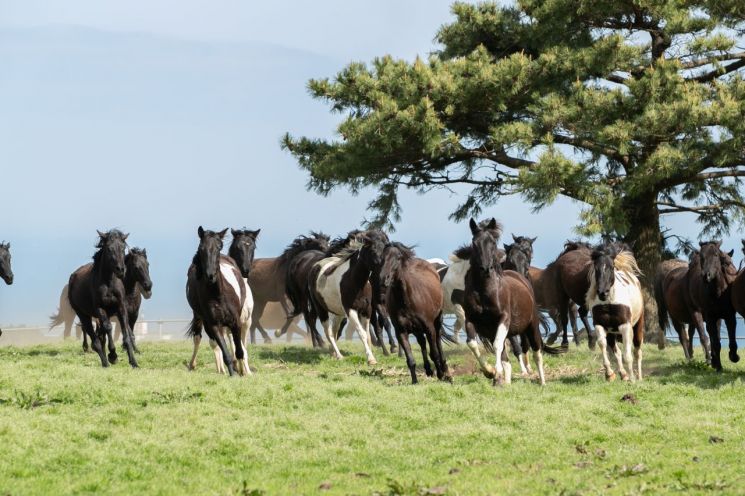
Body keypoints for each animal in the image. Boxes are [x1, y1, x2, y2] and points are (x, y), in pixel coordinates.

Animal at [68, 231, 137, 366]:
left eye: (123, 248)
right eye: (109, 249)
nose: (121, 270)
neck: (109, 283)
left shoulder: (121, 307)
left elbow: (126, 334)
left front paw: (134, 363)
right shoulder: (100, 309)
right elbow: (108, 328)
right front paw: (113, 355)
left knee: (100, 336)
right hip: (83, 314)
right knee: (95, 339)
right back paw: (105, 362)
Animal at [186, 228, 253, 376]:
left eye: (219, 246)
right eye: (201, 248)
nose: (210, 275)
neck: (218, 296)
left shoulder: (237, 322)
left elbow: (239, 350)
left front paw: (243, 371)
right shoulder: (214, 325)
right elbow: (225, 352)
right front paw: (233, 374)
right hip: (199, 316)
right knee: (199, 338)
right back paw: (194, 364)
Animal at [378, 241, 448, 384]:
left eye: (398, 257)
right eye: (382, 257)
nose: (383, 279)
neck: (406, 300)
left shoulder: (429, 328)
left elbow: (434, 353)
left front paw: (440, 375)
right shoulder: (401, 332)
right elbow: (410, 359)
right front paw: (415, 381)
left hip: (437, 321)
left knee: (438, 341)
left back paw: (444, 369)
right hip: (416, 329)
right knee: (422, 342)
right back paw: (428, 370)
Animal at [462, 219, 548, 386]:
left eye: (493, 242)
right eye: (474, 243)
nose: (485, 269)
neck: (484, 291)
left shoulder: (504, 318)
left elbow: (498, 345)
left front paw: (497, 372)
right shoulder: (471, 319)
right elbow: (472, 343)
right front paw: (490, 372)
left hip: (532, 326)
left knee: (537, 352)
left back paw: (542, 381)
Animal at [584, 246, 644, 382]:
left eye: (611, 267)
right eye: (596, 268)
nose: (602, 293)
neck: (610, 303)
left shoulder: (625, 326)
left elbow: (628, 355)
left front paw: (633, 380)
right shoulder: (600, 325)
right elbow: (603, 344)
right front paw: (610, 374)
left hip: (638, 326)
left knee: (637, 352)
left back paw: (639, 377)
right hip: (612, 333)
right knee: (617, 351)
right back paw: (623, 374)